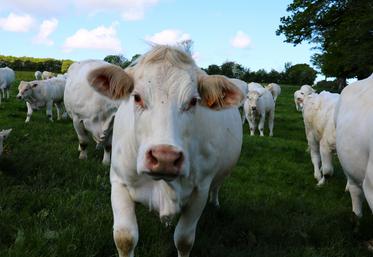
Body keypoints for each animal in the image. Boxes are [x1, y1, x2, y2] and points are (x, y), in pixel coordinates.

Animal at [87, 45, 244, 255]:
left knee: (216, 187)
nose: (165, 158)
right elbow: (125, 238)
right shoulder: (119, 181)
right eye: (137, 97)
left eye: (193, 101)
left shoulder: (200, 190)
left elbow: (184, 240)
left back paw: (216, 203)